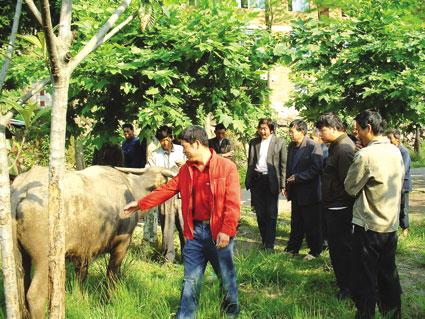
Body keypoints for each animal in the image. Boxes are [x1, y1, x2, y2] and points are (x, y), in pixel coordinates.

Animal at [12, 166, 173, 318]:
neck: (132, 188)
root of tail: (24, 191)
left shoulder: (83, 251)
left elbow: (81, 276)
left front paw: (80, 299)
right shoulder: (122, 243)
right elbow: (112, 273)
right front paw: (110, 299)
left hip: (20, 256)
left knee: (20, 287)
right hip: (45, 259)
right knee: (34, 295)